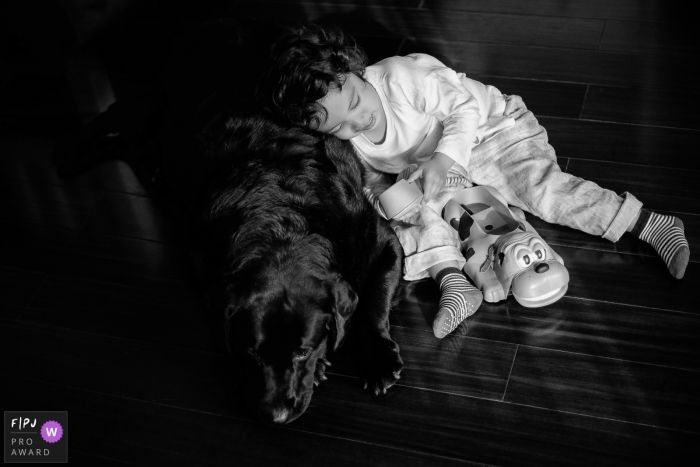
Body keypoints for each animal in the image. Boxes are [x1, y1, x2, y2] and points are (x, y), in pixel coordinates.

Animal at [189, 113, 408, 424]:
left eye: (303, 352)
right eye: (252, 353)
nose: (276, 416)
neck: (282, 223)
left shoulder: (385, 242)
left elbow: (375, 301)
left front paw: (377, 357)